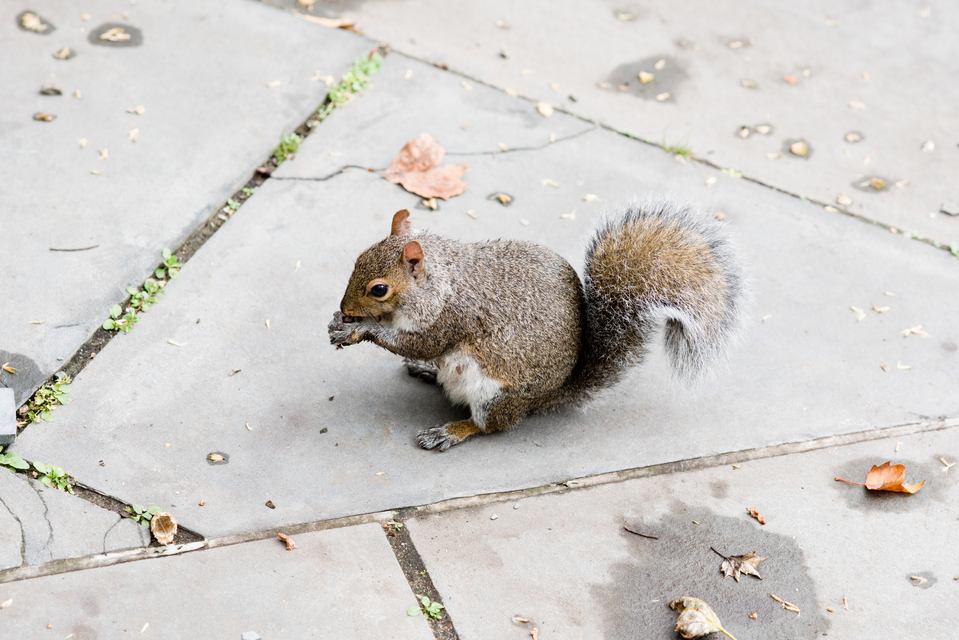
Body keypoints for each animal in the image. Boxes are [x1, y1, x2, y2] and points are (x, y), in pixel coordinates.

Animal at [328, 196, 747, 451]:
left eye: (379, 289)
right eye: (358, 258)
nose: (344, 306)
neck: (441, 278)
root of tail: (546, 397)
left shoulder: (453, 316)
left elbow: (422, 342)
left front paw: (360, 329)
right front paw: (341, 322)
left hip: (494, 394)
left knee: (490, 425)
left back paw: (450, 430)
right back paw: (428, 372)